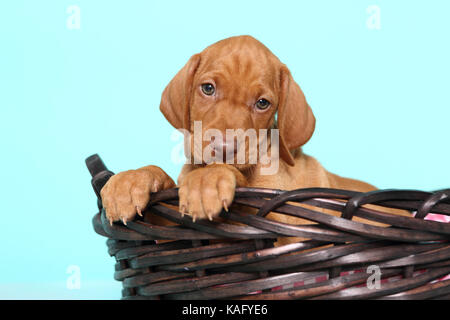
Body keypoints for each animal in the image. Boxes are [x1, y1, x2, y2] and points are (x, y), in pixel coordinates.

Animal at [100, 35, 406, 245]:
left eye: (262, 103)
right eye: (208, 88)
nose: (223, 149)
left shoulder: (287, 229)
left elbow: (247, 196)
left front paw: (207, 182)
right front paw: (130, 181)